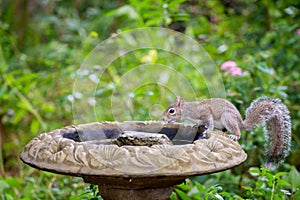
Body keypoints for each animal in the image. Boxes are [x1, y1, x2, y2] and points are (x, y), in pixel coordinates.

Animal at [163, 96, 292, 166]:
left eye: (172, 111)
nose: (163, 119)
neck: (189, 110)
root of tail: (240, 123)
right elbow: (201, 123)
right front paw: (196, 125)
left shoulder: (205, 112)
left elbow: (209, 122)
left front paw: (207, 130)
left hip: (227, 118)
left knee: (237, 131)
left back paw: (234, 136)